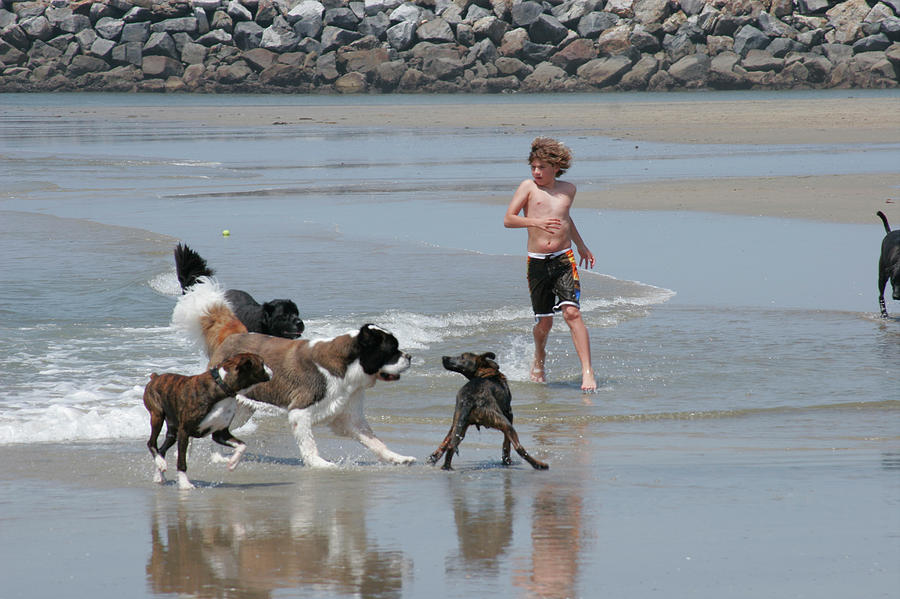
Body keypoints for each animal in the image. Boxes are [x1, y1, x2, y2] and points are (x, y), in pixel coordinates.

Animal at [142, 354, 270, 490]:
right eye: (262, 363)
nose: (271, 370)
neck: (222, 388)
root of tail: (156, 377)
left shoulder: (220, 434)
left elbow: (242, 445)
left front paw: (233, 463)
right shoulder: (184, 432)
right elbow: (181, 462)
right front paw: (185, 483)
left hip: (173, 432)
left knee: (162, 450)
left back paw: (159, 473)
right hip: (157, 416)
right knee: (151, 443)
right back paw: (160, 463)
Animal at [171, 276, 416, 468]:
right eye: (392, 350)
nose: (409, 357)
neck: (347, 368)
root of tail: (234, 335)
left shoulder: (350, 417)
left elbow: (376, 442)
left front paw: (397, 457)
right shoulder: (300, 411)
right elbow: (309, 443)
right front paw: (319, 463)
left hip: (240, 409)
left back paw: (218, 457)